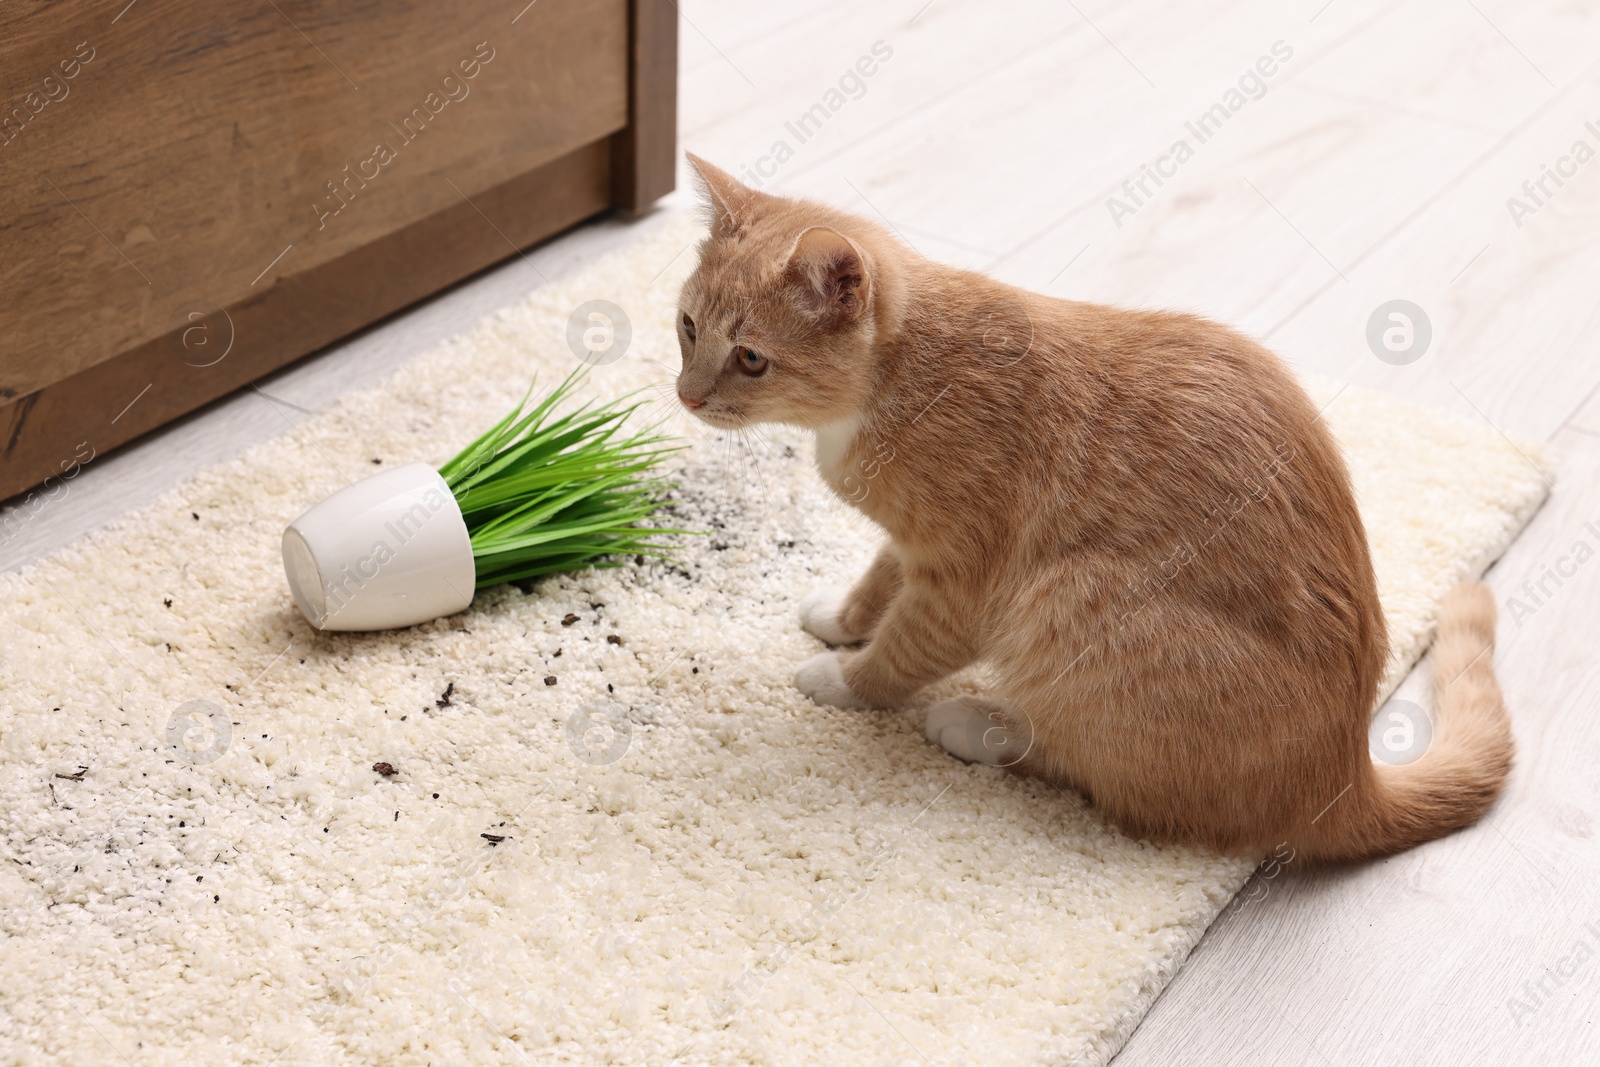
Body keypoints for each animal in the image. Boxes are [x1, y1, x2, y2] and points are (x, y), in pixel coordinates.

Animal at [672, 154, 1510, 863]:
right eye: (687, 327)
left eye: (751, 357)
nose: (686, 394)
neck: (893, 379)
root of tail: (1342, 774)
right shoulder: (913, 546)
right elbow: (880, 578)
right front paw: (845, 618)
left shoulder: (965, 583)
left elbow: (905, 647)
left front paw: (847, 678)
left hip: (1069, 597)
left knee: (1096, 772)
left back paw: (976, 724)